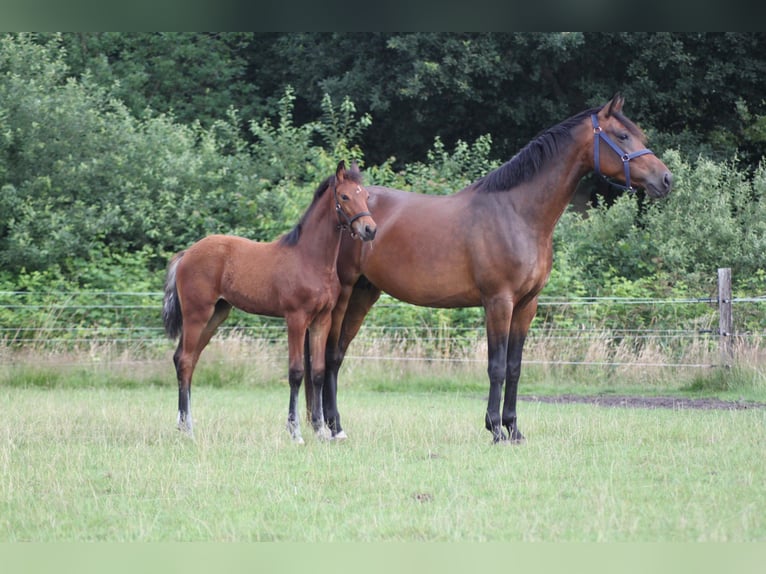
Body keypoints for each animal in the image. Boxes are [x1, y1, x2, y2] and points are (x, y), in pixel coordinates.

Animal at [164, 162, 376, 446]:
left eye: (366, 196)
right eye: (344, 197)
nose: (370, 229)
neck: (310, 259)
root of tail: (187, 254)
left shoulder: (322, 319)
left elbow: (318, 372)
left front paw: (321, 431)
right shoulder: (296, 318)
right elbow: (296, 372)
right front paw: (295, 432)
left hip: (217, 314)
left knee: (185, 359)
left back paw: (183, 424)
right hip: (196, 314)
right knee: (186, 360)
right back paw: (188, 430)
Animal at [308, 94, 676, 446]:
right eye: (623, 135)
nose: (666, 178)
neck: (518, 214)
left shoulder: (527, 305)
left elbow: (514, 367)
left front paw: (514, 429)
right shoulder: (499, 302)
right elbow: (496, 367)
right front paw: (496, 429)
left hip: (364, 294)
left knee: (336, 356)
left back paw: (332, 425)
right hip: (344, 295)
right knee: (327, 354)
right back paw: (330, 427)